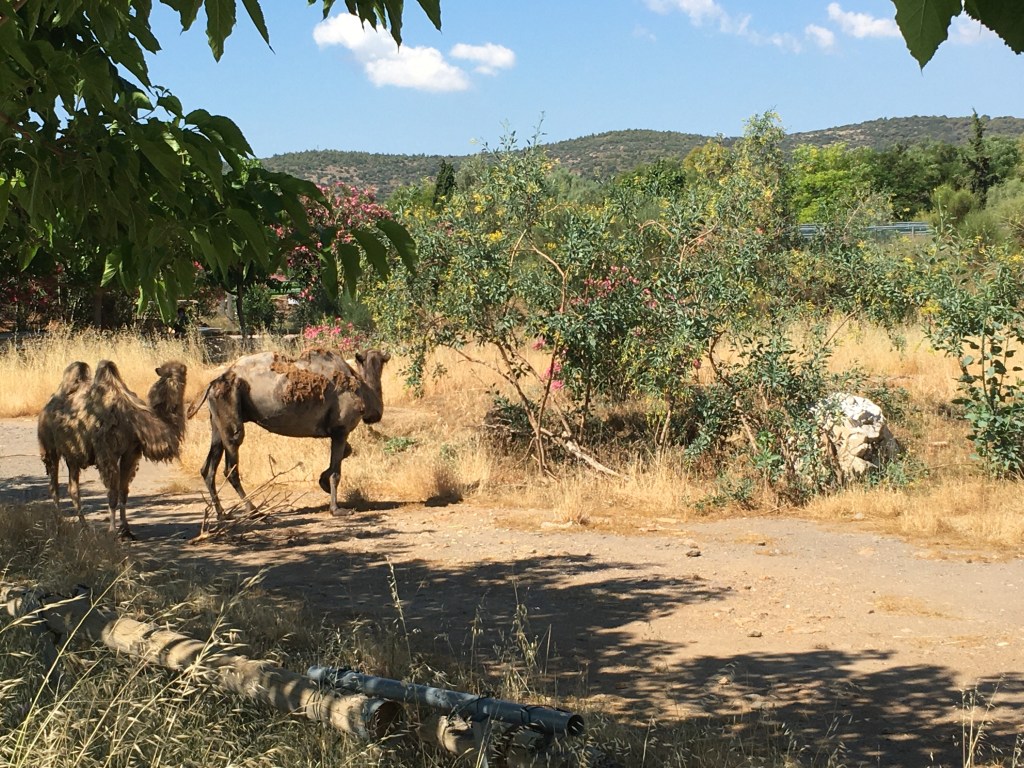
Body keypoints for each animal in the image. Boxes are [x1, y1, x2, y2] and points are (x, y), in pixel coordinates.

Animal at [37, 359, 189, 539]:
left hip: (72, 455)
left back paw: (84, 527)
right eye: (169, 373)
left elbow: (123, 491)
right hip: (49, 447)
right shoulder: (107, 453)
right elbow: (113, 493)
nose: (181, 376)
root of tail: (49, 404)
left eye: (183, 373)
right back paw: (59, 524)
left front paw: (126, 530)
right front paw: (112, 531)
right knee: (53, 486)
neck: (134, 420)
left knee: (73, 489)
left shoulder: (131, 452)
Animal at [187, 347, 390, 520]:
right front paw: (337, 509)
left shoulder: (334, 431)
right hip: (230, 409)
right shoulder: (341, 429)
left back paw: (222, 514)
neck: (361, 388)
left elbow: (346, 453)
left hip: (217, 420)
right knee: (231, 464)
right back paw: (254, 511)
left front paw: (322, 481)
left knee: (208, 468)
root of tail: (213, 383)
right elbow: (336, 472)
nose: (377, 414)